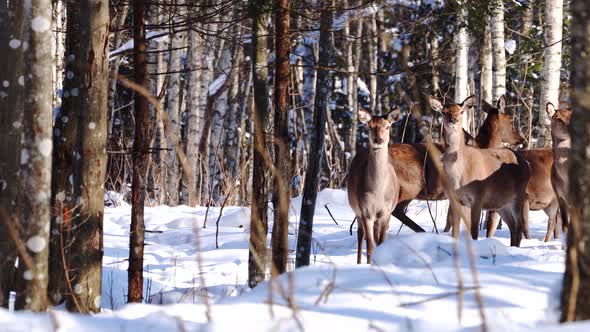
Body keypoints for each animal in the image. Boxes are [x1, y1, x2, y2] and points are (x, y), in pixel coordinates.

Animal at [346, 107, 402, 264]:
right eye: (369, 127)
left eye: (387, 126)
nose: (378, 140)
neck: (378, 192)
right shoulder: (366, 211)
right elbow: (370, 246)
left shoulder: (387, 211)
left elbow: (381, 243)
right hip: (356, 209)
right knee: (360, 234)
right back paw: (358, 262)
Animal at [432, 96, 536, 246]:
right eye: (443, 112)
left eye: (461, 111)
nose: (453, 119)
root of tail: (527, 165)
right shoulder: (454, 200)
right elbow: (455, 233)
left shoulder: (478, 196)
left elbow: (474, 231)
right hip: (502, 202)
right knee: (513, 226)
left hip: (518, 196)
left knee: (519, 226)